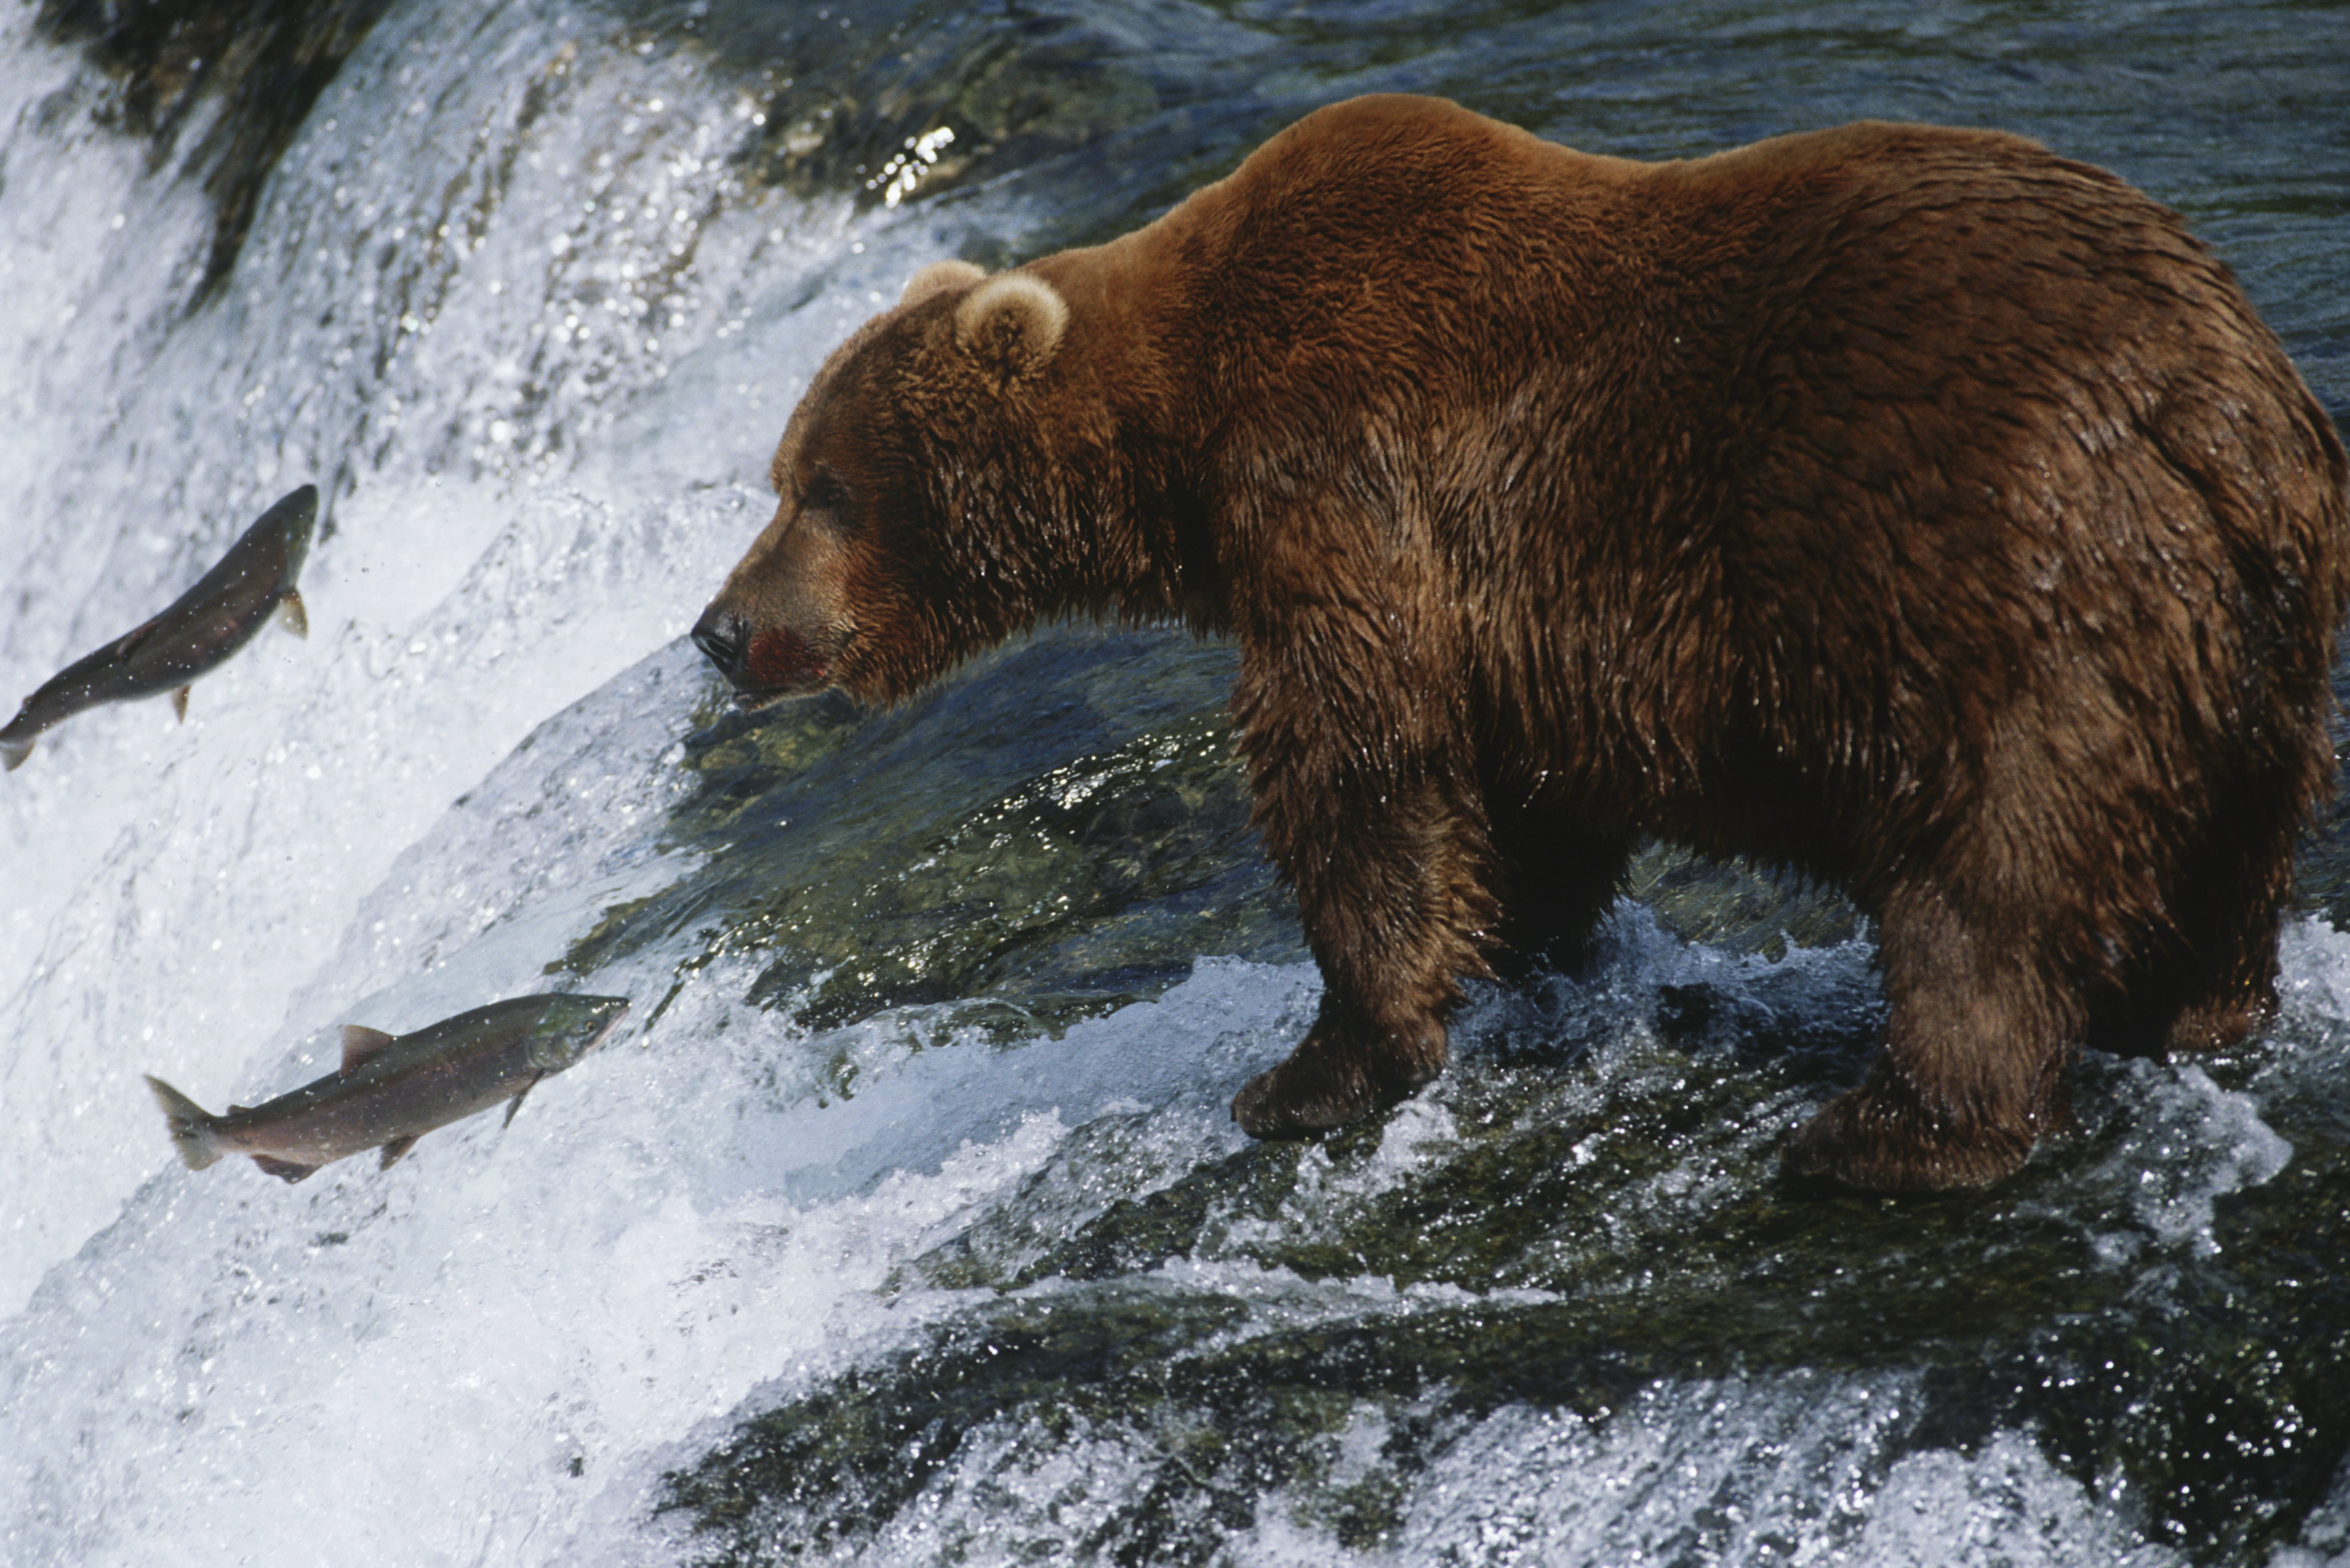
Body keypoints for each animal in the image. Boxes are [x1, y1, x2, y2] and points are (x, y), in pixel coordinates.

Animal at [691, 94, 2350, 1193]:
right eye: (780, 474)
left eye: (823, 487)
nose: (721, 629)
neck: (1186, 431)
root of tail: (2210, 394)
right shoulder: (1525, 621)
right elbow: (1524, 797)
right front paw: (1523, 954)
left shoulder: (1341, 474)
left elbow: (1357, 762)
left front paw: (1312, 1071)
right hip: (2251, 625)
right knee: (2234, 829)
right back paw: (2194, 1006)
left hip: (1979, 573)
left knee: (1986, 860)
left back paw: (1900, 1128)